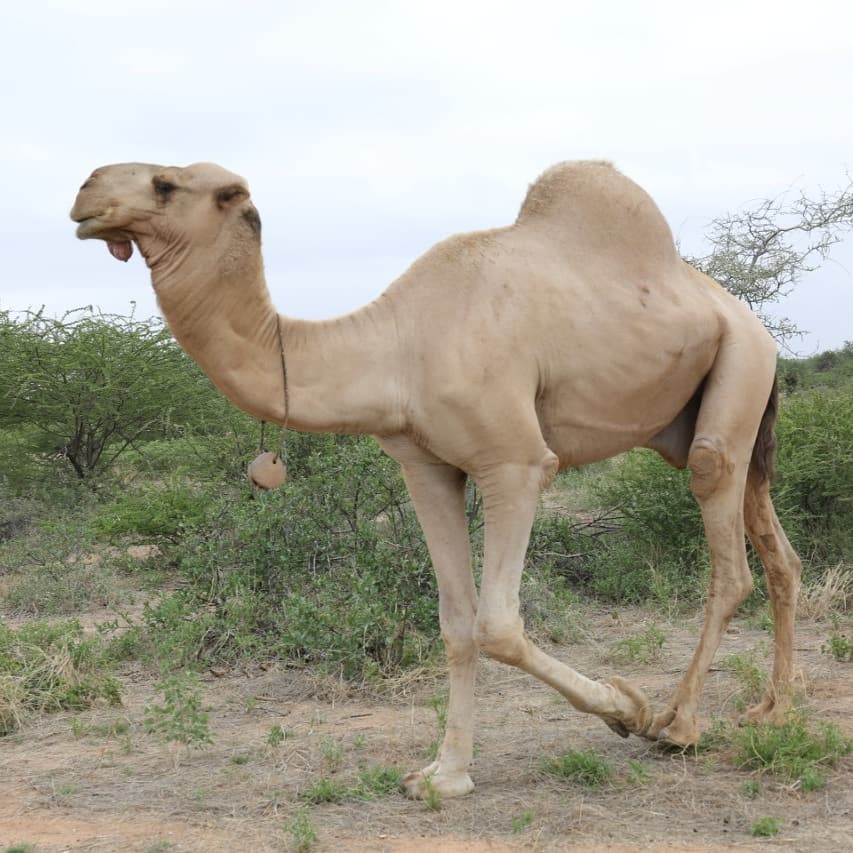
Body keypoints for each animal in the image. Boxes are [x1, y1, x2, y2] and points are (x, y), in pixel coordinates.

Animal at [70, 159, 801, 799]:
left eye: (165, 184)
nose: (84, 192)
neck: (396, 346)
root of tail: (754, 323)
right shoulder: (424, 467)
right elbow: (454, 623)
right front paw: (443, 775)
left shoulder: (515, 462)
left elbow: (496, 624)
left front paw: (627, 707)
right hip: (714, 408)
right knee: (777, 551)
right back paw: (773, 708)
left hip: (737, 370)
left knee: (724, 540)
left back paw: (678, 724)